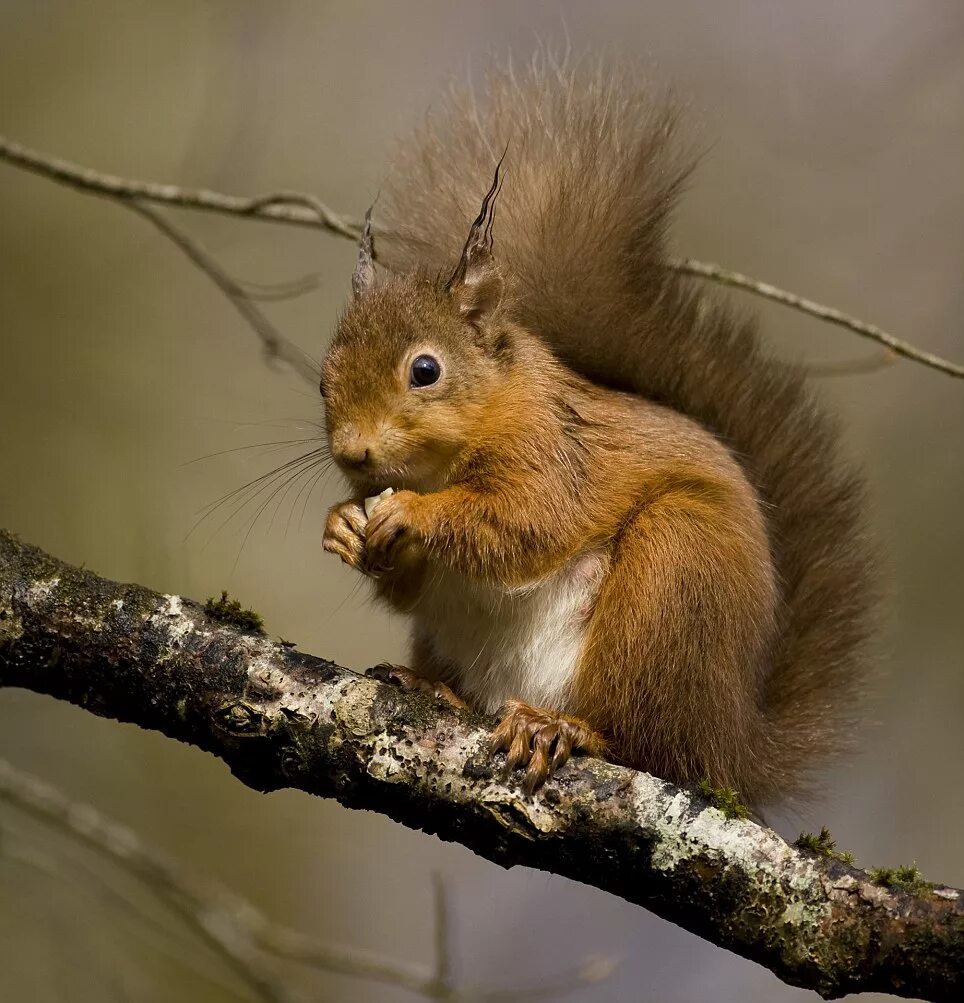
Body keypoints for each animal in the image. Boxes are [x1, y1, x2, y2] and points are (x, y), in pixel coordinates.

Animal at [316, 54, 874, 810]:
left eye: (425, 370)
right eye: (323, 381)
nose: (353, 453)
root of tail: (730, 745)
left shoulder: (553, 450)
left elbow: (527, 522)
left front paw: (412, 514)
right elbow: (406, 587)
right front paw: (343, 524)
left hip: (673, 577)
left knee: (644, 740)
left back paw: (560, 727)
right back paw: (436, 687)